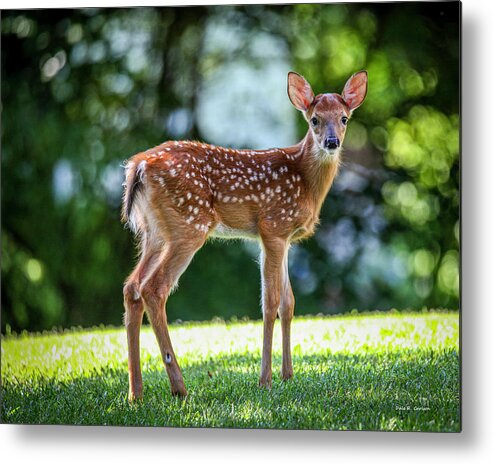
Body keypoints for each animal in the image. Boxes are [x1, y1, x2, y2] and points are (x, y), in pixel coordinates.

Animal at [122, 70, 368, 398]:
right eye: (314, 119)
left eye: (344, 118)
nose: (331, 141)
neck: (305, 181)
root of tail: (139, 166)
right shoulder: (273, 227)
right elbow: (270, 302)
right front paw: (265, 380)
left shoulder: (285, 238)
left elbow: (289, 303)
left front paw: (288, 376)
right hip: (189, 225)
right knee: (154, 288)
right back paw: (179, 388)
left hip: (154, 232)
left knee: (132, 287)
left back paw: (135, 393)